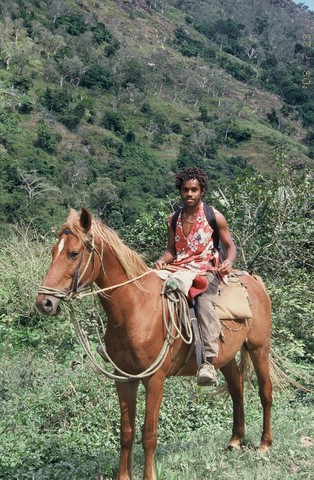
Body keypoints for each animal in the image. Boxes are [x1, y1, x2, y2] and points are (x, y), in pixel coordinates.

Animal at [36, 208, 272, 478]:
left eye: (74, 253)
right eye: (53, 252)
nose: (44, 302)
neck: (135, 309)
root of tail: (254, 281)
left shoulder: (154, 379)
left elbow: (149, 434)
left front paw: (149, 475)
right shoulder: (124, 379)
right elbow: (126, 432)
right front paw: (123, 475)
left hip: (259, 348)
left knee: (265, 391)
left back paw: (265, 444)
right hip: (226, 356)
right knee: (236, 388)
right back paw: (235, 441)